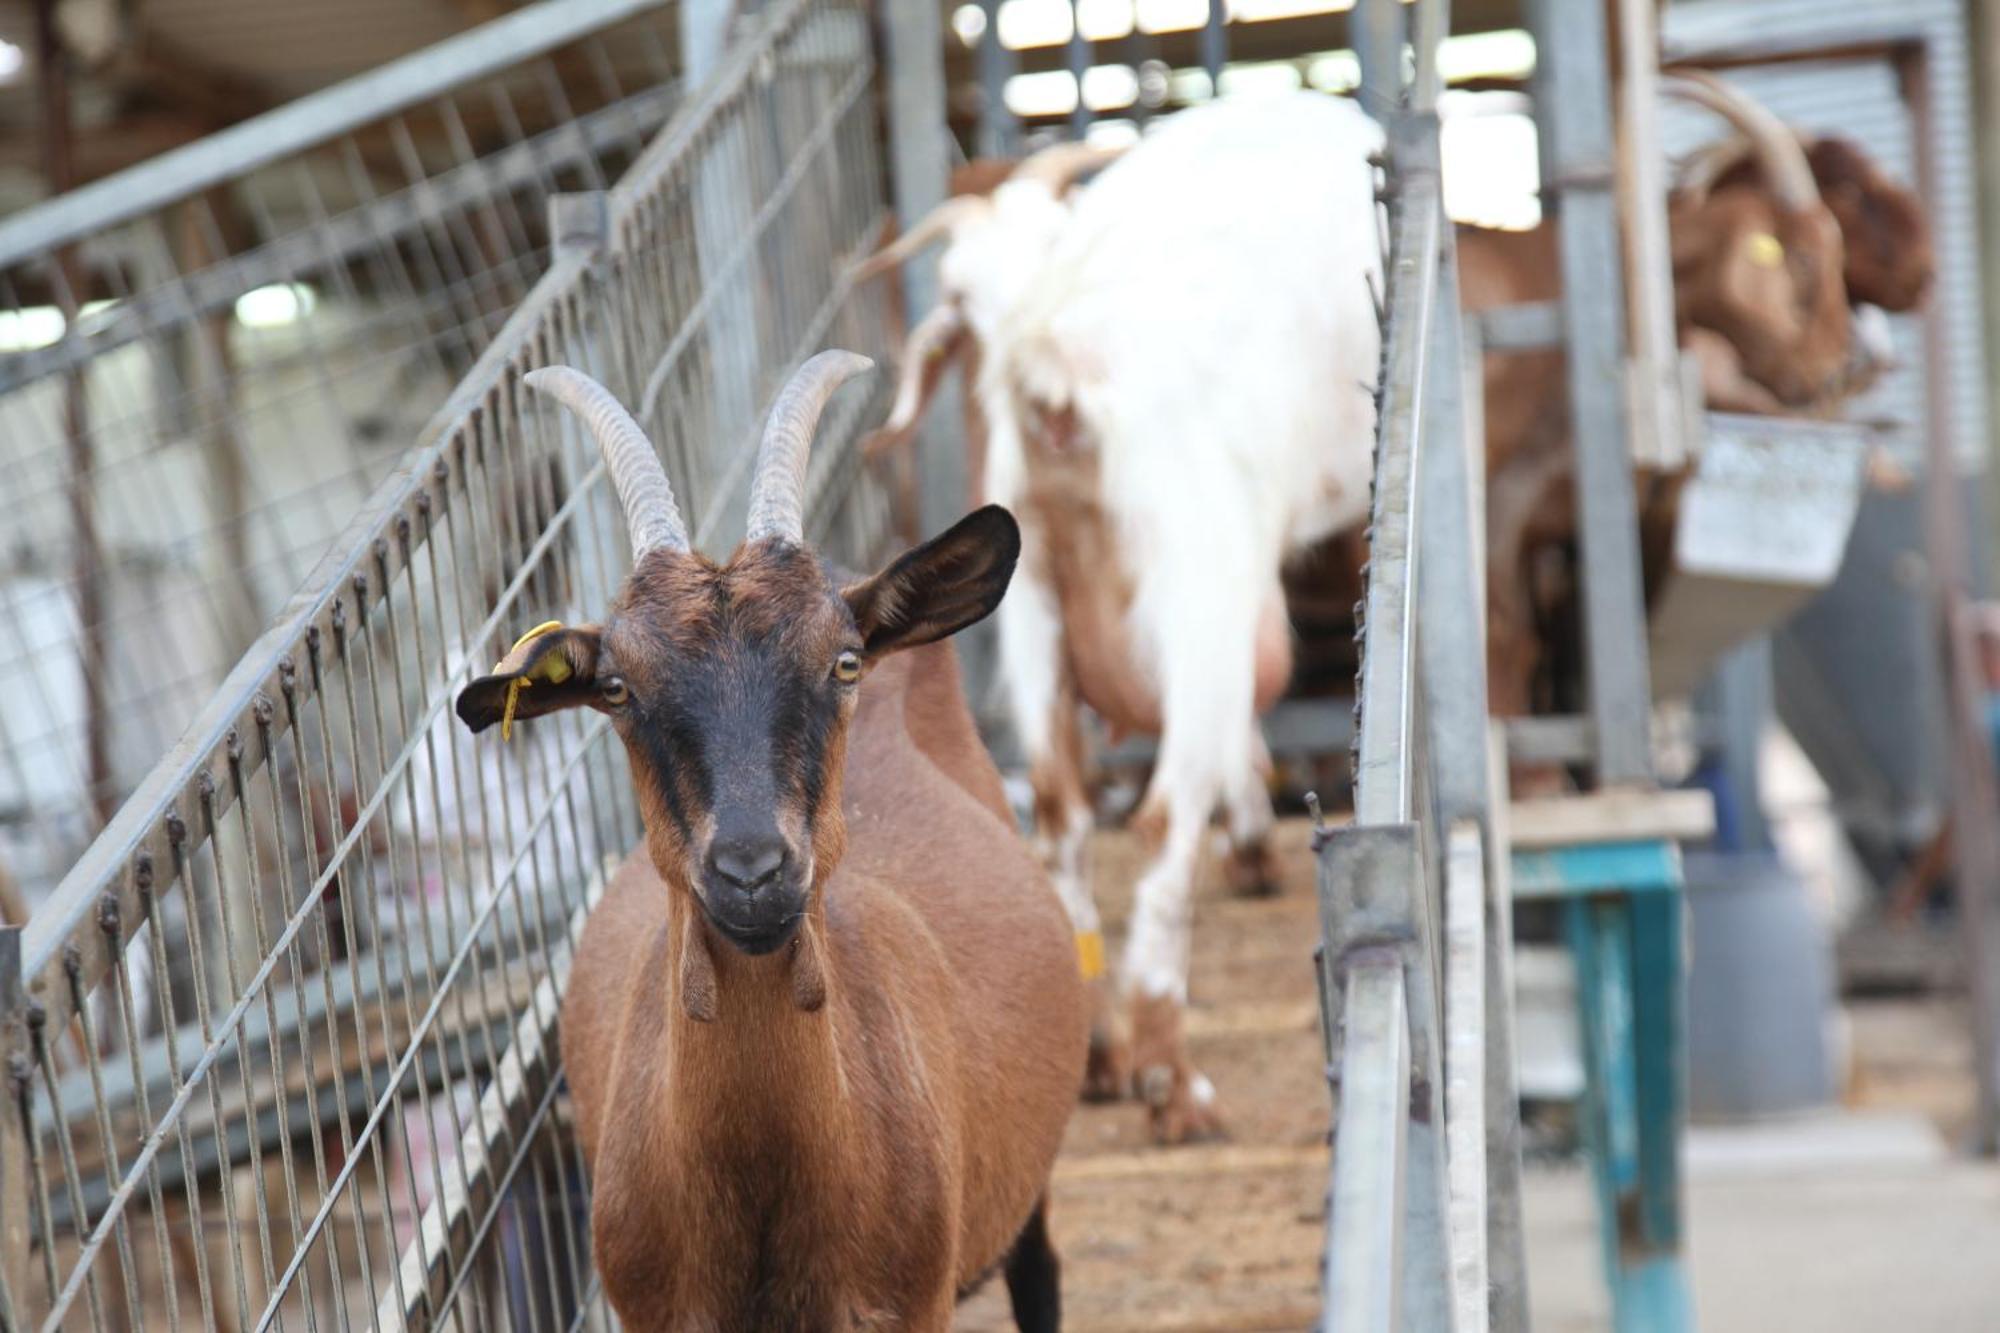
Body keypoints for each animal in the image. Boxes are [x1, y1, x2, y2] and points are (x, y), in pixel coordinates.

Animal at [876, 93, 1392, 1136]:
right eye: (961, 311)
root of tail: (1057, 389)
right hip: (1198, 590)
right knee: (1159, 824)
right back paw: (1171, 1080)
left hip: (1030, 614)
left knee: (1063, 815)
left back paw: (1095, 1051)